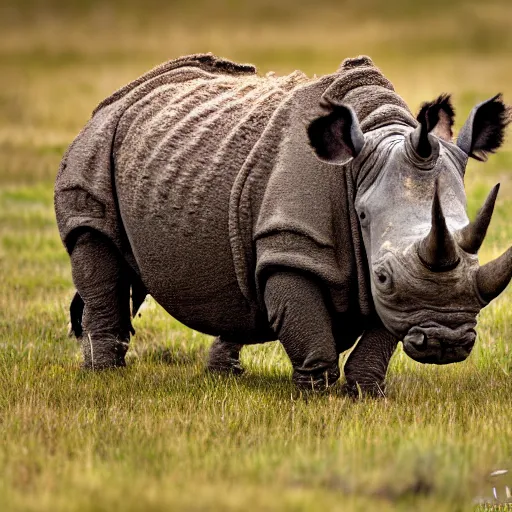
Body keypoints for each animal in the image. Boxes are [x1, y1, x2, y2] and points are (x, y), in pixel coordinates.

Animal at [54, 53, 510, 396]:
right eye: (382, 276)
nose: (446, 343)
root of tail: (127, 92)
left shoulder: (397, 287)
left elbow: (381, 334)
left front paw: (367, 395)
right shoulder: (291, 244)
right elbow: (306, 324)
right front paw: (314, 396)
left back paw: (224, 376)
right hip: (96, 146)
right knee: (94, 245)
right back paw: (103, 376)